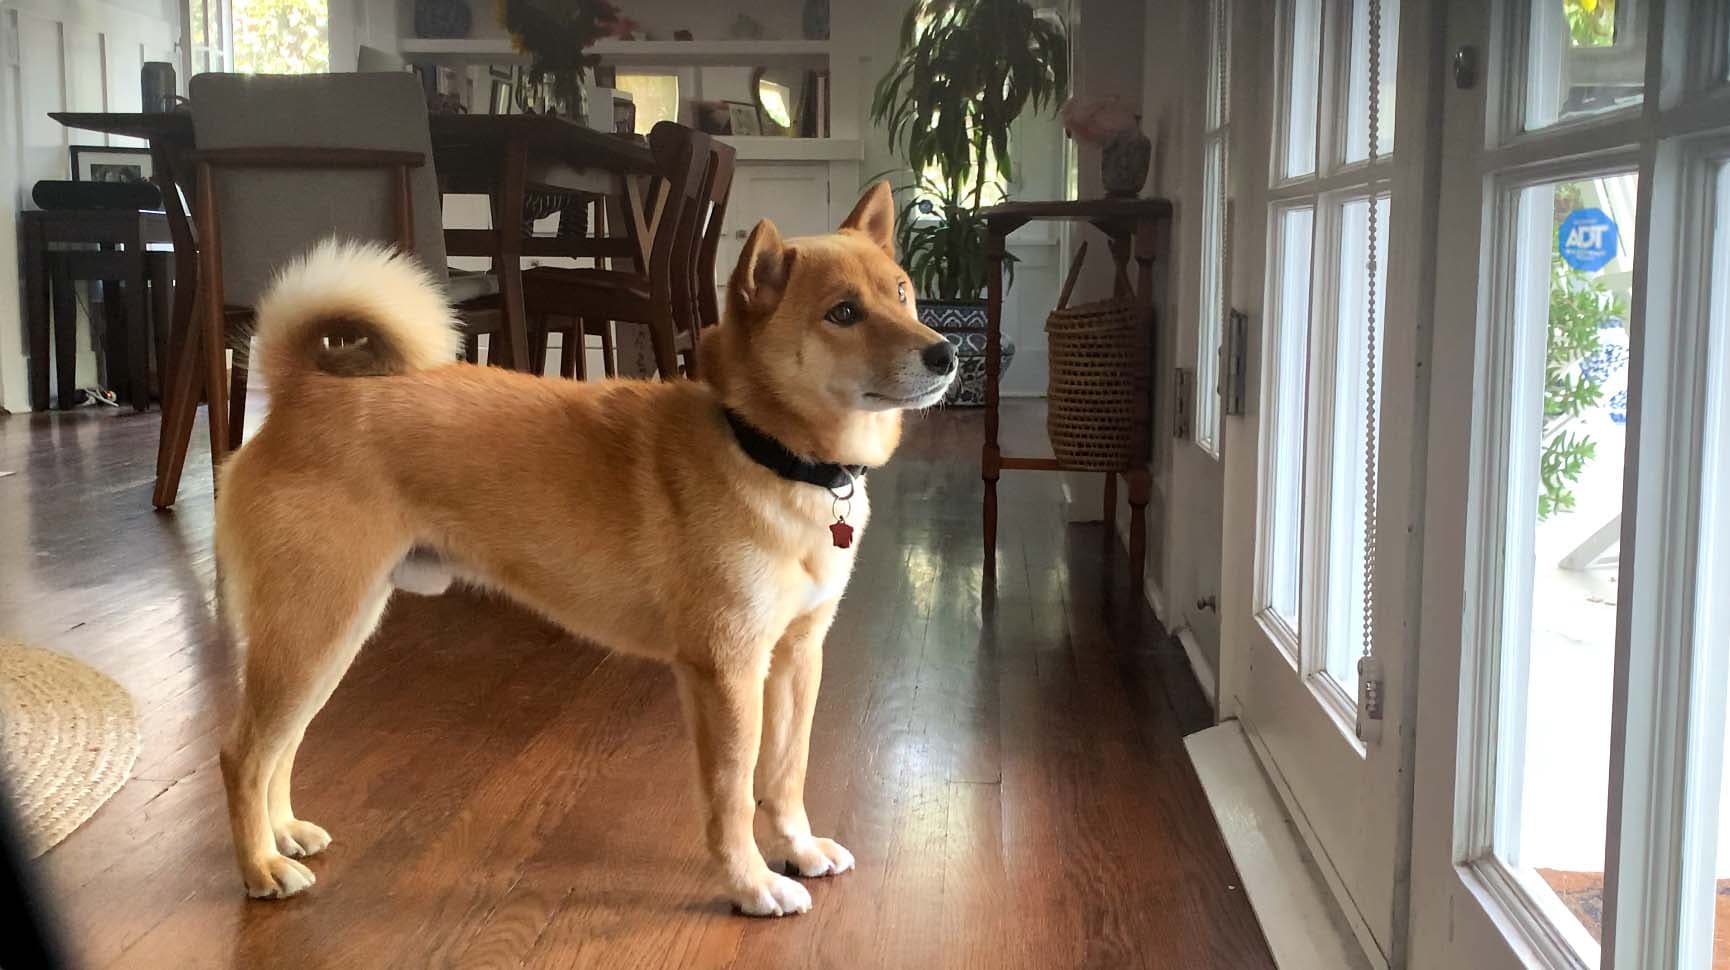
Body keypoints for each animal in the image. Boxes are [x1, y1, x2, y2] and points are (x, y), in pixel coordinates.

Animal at [216, 181, 961, 912]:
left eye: (901, 293)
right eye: (842, 313)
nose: (947, 353)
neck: (767, 450)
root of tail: (304, 391)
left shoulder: (797, 657)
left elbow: (783, 775)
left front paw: (798, 851)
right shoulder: (726, 672)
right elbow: (731, 797)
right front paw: (752, 884)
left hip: (333, 634)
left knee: (282, 746)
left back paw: (283, 835)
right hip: (312, 631)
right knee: (242, 755)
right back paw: (259, 867)